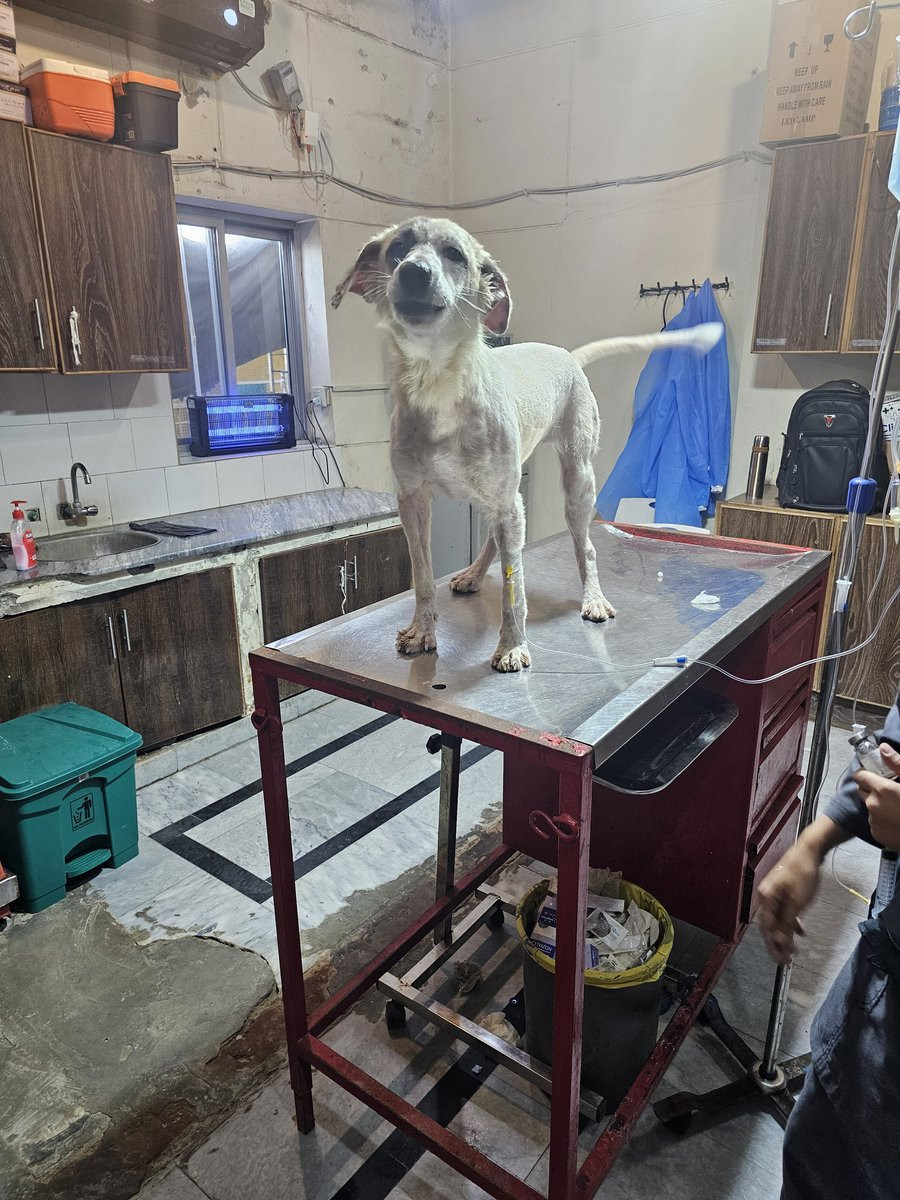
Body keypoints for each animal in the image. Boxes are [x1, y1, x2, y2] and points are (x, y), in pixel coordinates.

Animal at [332, 217, 722, 672]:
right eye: (397, 249)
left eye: (454, 254)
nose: (413, 273)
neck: (440, 383)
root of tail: (568, 356)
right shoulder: (413, 500)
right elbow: (423, 577)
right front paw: (422, 632)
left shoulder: (507, 504)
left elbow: (512, 589)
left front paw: (512, 646)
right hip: (502, 491)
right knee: (497, 541)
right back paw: (473, 574)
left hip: (576, 483)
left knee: (585, 548)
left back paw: (593, 599)